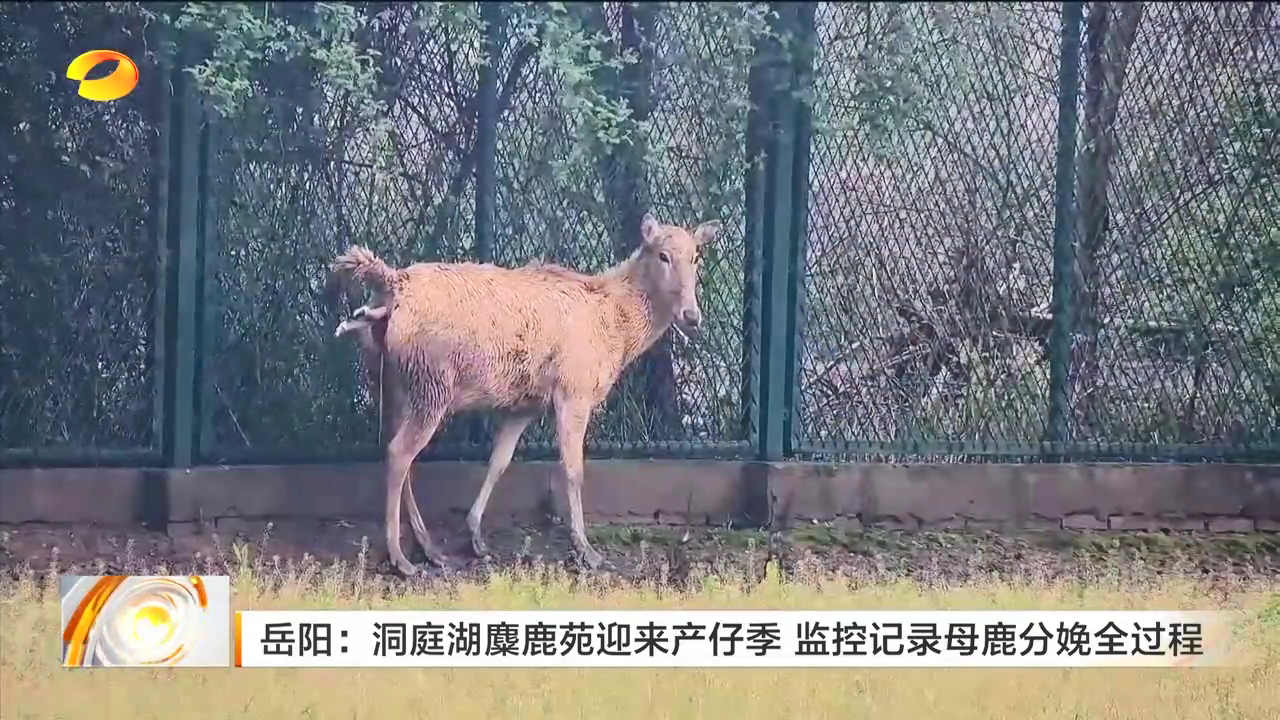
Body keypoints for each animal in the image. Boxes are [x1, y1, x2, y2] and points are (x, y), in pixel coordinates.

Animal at [327, 213, 721, 577]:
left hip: (389, 382)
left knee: (398, 451)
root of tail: (391, 284)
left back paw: (430, 548)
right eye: (663, 255)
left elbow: (499, 461)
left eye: (696, 256)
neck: (618, 331)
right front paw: (586, 549)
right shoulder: (573, 391)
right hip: (432, 384)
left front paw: (475, 535)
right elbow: (573, 470)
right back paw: (401, 557)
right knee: (399, 454)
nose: (692, 315)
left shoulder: (526, 404)